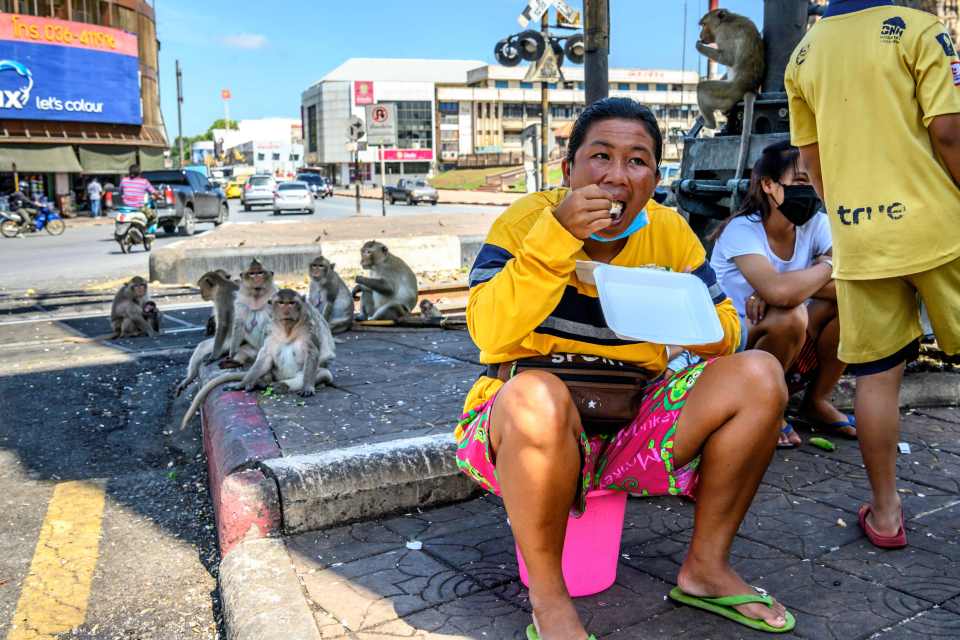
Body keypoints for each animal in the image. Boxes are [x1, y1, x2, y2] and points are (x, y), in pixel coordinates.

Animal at [182, 290, 336, 430]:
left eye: (292, 303)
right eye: (281, 303)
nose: (286, 310)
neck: (287, 330)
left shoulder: (308, 331)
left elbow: (312, 353)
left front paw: (307, 387)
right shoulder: (270, 331)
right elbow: (265, 357)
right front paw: (242, 383)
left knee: (322, 373)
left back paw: (281, 386)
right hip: (274, 374)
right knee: (266, 373)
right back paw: (259, 382)